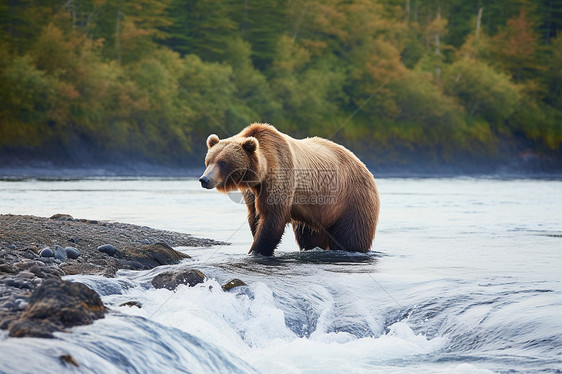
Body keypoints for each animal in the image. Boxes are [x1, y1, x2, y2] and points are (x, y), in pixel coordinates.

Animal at [199, 124, 378, 256]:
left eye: (223, 162)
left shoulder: (280, 174)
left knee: (352, 235)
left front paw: (256, 250)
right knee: (309, 236)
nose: (204, 179)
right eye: (209, 161)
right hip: (317, 212)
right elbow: (255, 215)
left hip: (351, 199)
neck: (261, 173)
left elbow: (272, 217)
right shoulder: (252, 191)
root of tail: (365, 167)